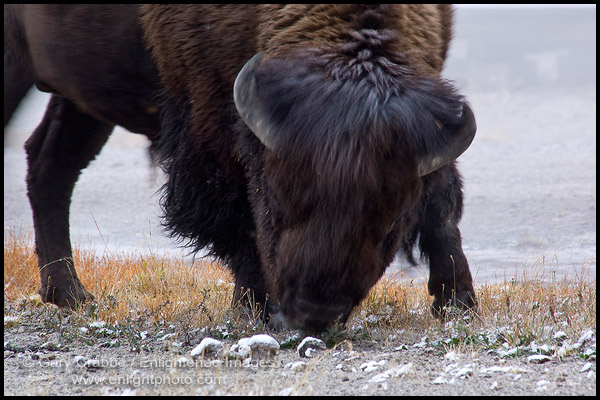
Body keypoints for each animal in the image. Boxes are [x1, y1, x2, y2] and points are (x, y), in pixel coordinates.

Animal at [3, 4, 474, 332]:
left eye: (393, 222)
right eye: (277, 199)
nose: (314, 314)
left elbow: (441, 205)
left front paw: (457, 302)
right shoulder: (210, 131)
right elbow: (237, 222)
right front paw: (253, 307)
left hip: (82, 98)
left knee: (51, 166)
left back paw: (71, 296)